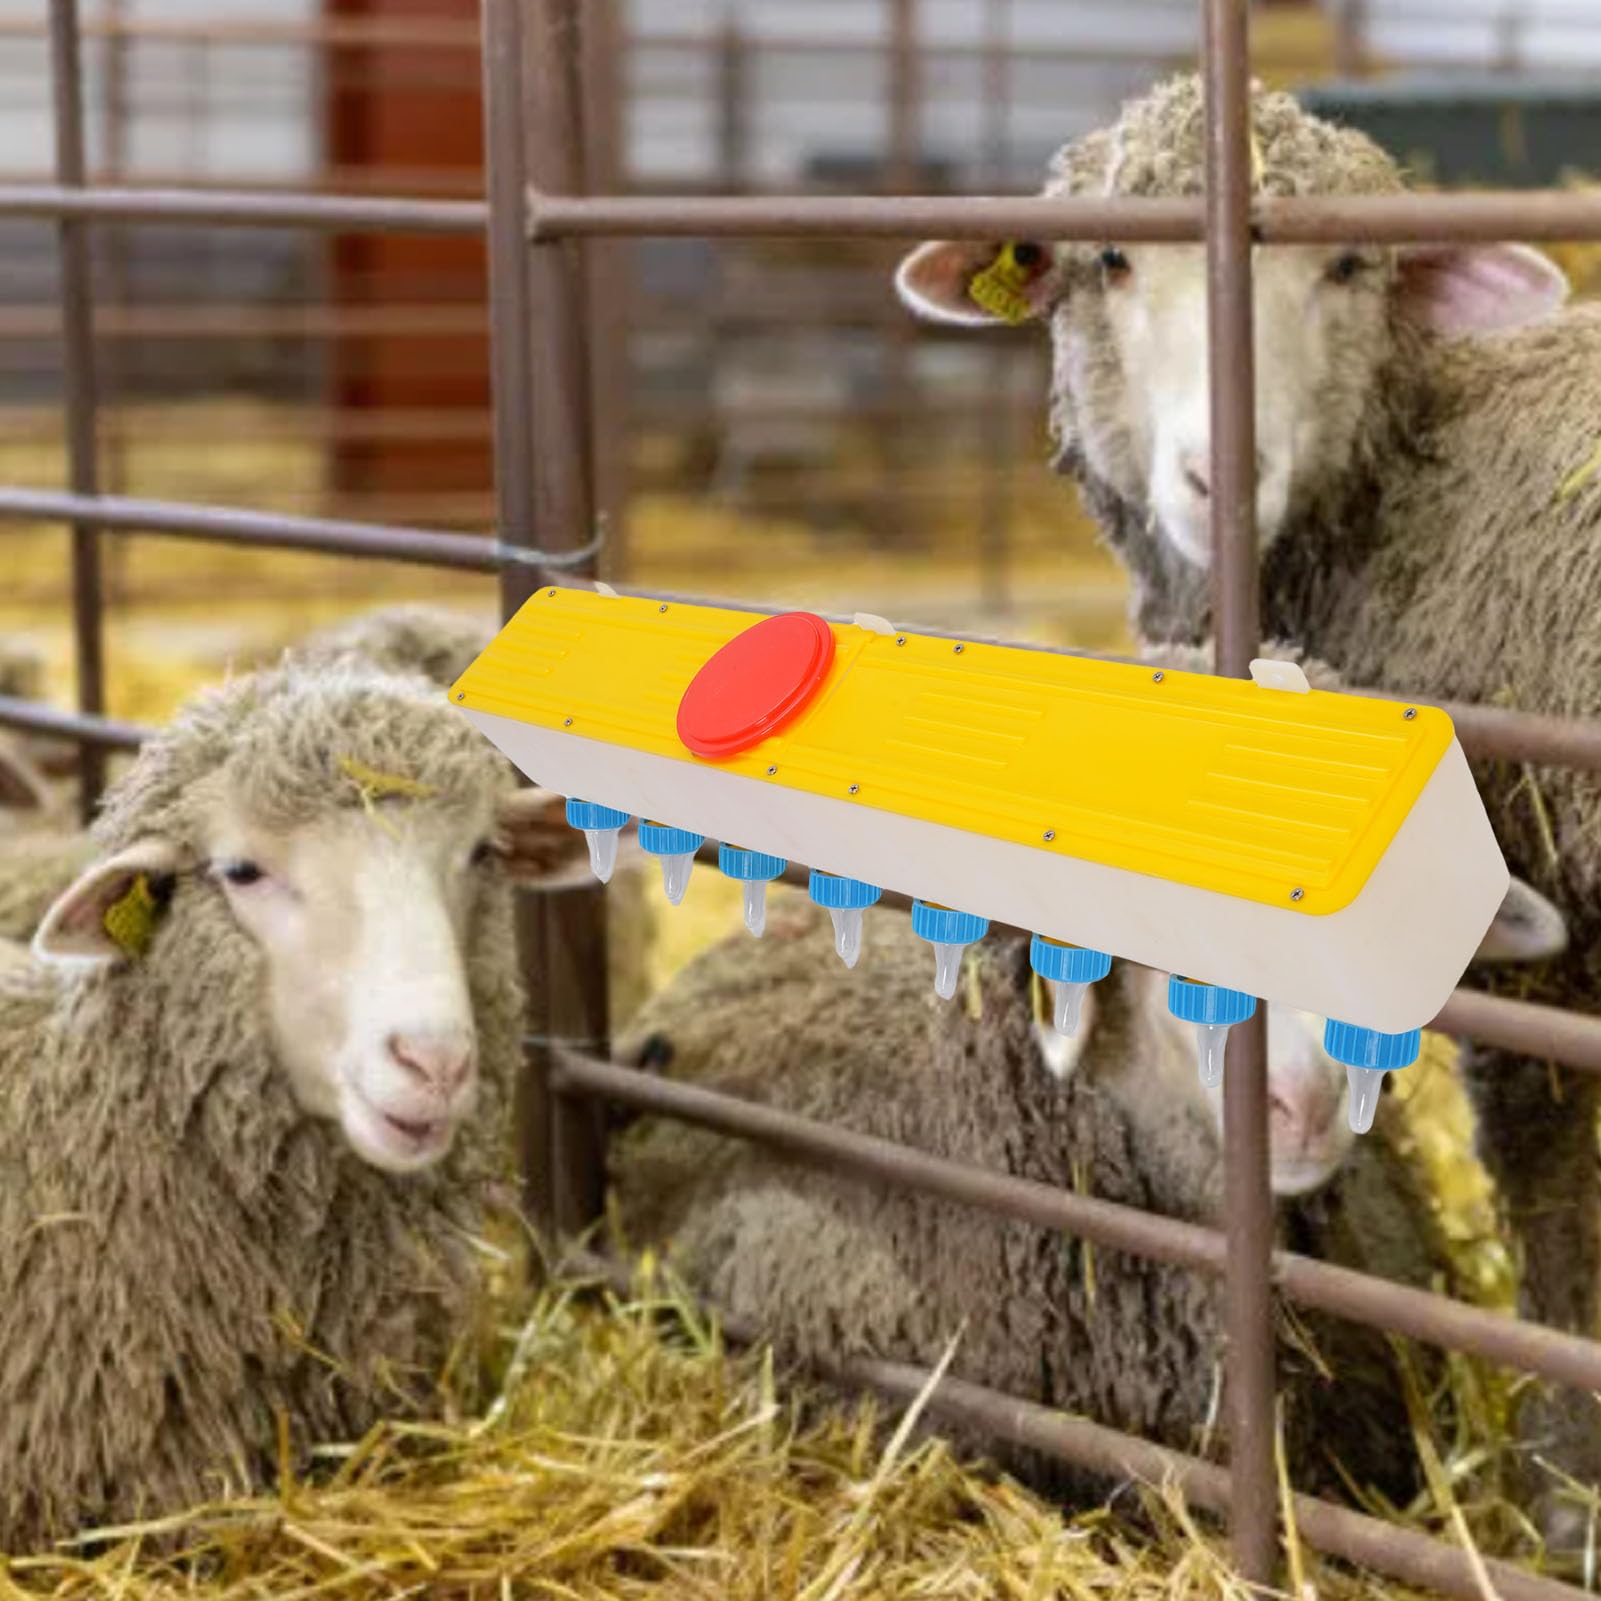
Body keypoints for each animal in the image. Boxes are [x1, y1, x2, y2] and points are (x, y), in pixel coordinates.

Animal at [895, 73, 1600, 1533]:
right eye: (1107, 261)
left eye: (1344, 268)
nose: (1220, 475)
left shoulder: (1539, 957)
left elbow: (1557, 1223)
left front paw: (1564, 1499)